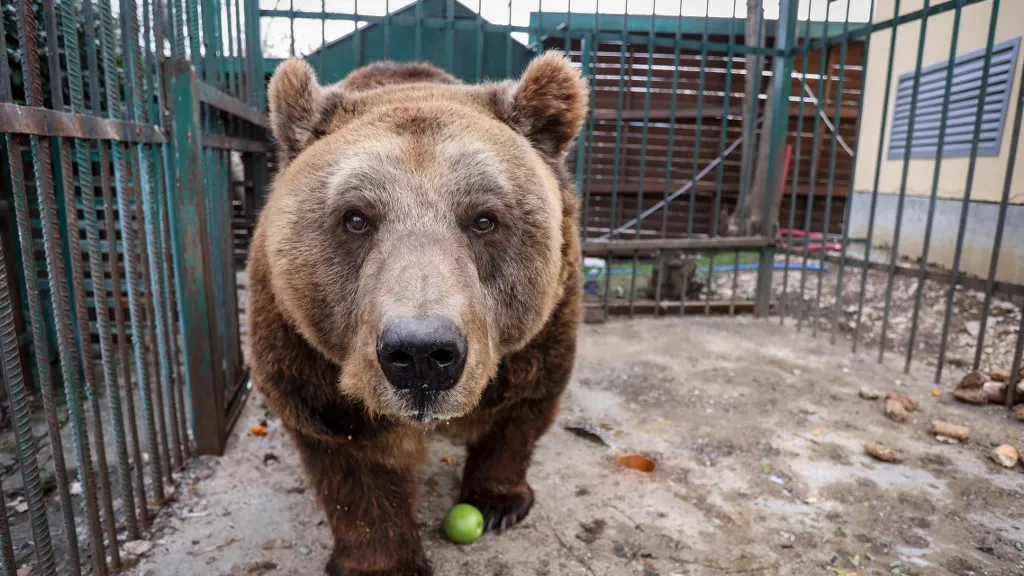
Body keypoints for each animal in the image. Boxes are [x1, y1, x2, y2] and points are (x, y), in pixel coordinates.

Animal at [246, 52, 588, 575]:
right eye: (355, 217)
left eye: (485, 219)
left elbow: (524, 405)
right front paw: (382, 559)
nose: (422, 354)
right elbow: (352, 457)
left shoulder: (543, 325)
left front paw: (499, 502)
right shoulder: (307, 358)